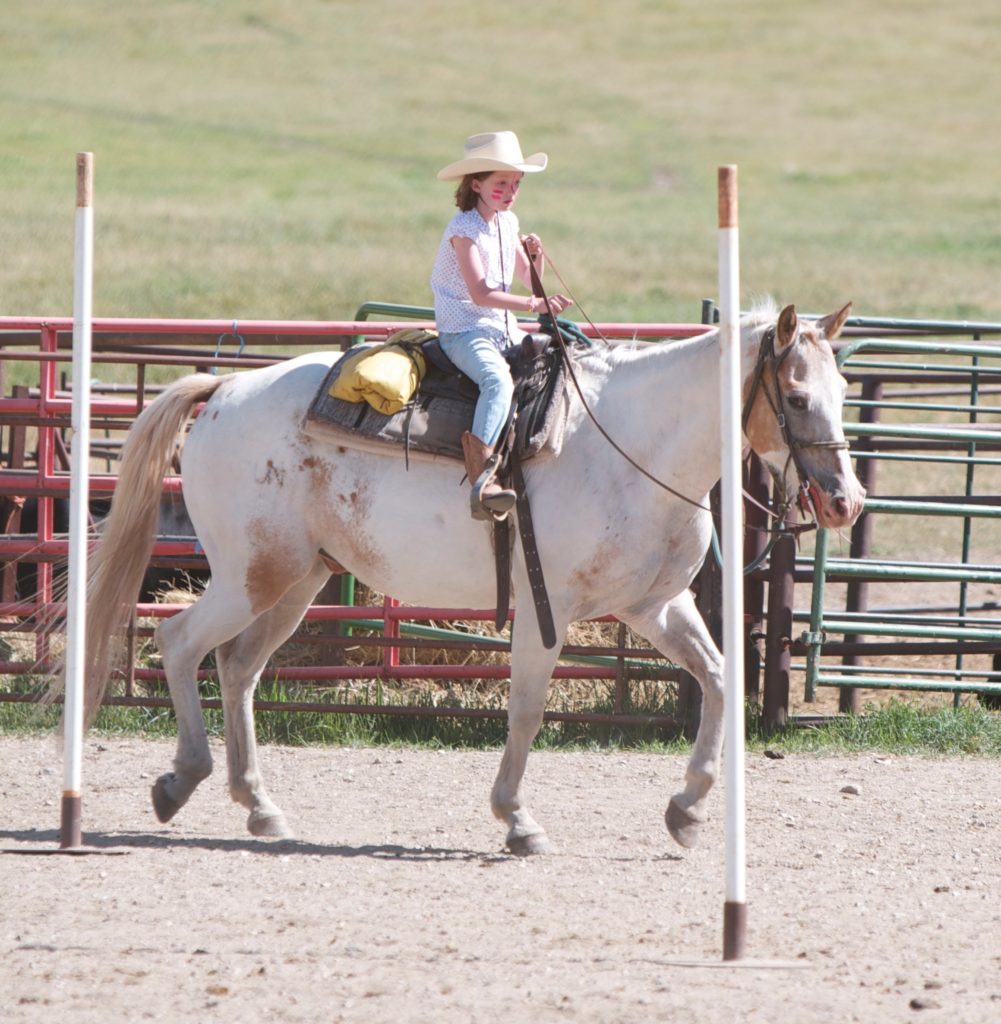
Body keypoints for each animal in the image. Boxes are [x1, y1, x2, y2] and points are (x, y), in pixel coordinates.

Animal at [74, 299, 863, 851]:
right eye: (797, 399)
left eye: (844, 392)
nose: (845, 501)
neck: (634, 445)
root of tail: (225, 391)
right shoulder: (549, 607)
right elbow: (526, 710)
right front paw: (517, 820)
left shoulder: (655, 605)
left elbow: (720, 679)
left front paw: (688, 809)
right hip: (249, 577)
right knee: (178, 642)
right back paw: (181, 779)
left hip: (296, 582)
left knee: (238, 667)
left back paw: (260, 807)